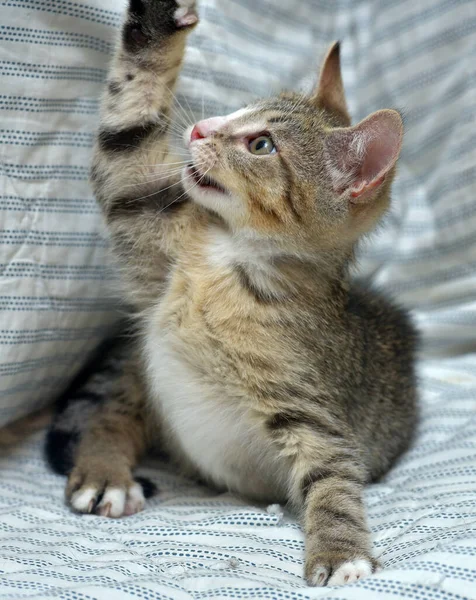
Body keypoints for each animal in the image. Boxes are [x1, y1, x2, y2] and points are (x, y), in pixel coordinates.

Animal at [45, 0, 416, 588]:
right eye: (239, 112)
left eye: (260, 144)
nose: (201, 128)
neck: (230, 258)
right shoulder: (152, 232)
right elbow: (126, 141)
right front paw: (158, 19)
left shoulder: (307, 404)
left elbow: (332, 471)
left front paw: (339, 548)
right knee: (109, 412)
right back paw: (107, 473)